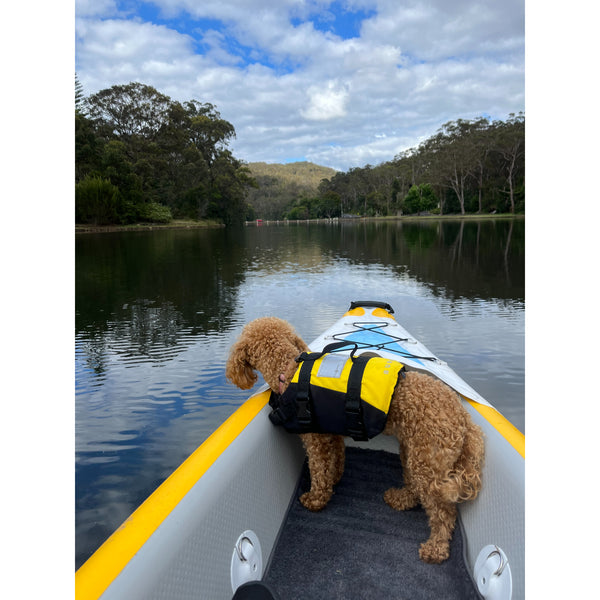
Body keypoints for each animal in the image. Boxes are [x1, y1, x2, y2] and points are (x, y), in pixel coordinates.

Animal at [225, 316, 482, 564]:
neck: (289, 370)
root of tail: (465, 419)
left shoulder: (315, 440)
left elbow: (319, 471)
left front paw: (316, 500)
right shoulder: (333, 434)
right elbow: (336, 461)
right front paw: (334, 480)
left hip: (428, 462)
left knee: (443, 512)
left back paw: (436, 548)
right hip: (414, 453)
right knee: (416, 489)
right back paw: (400, 499)